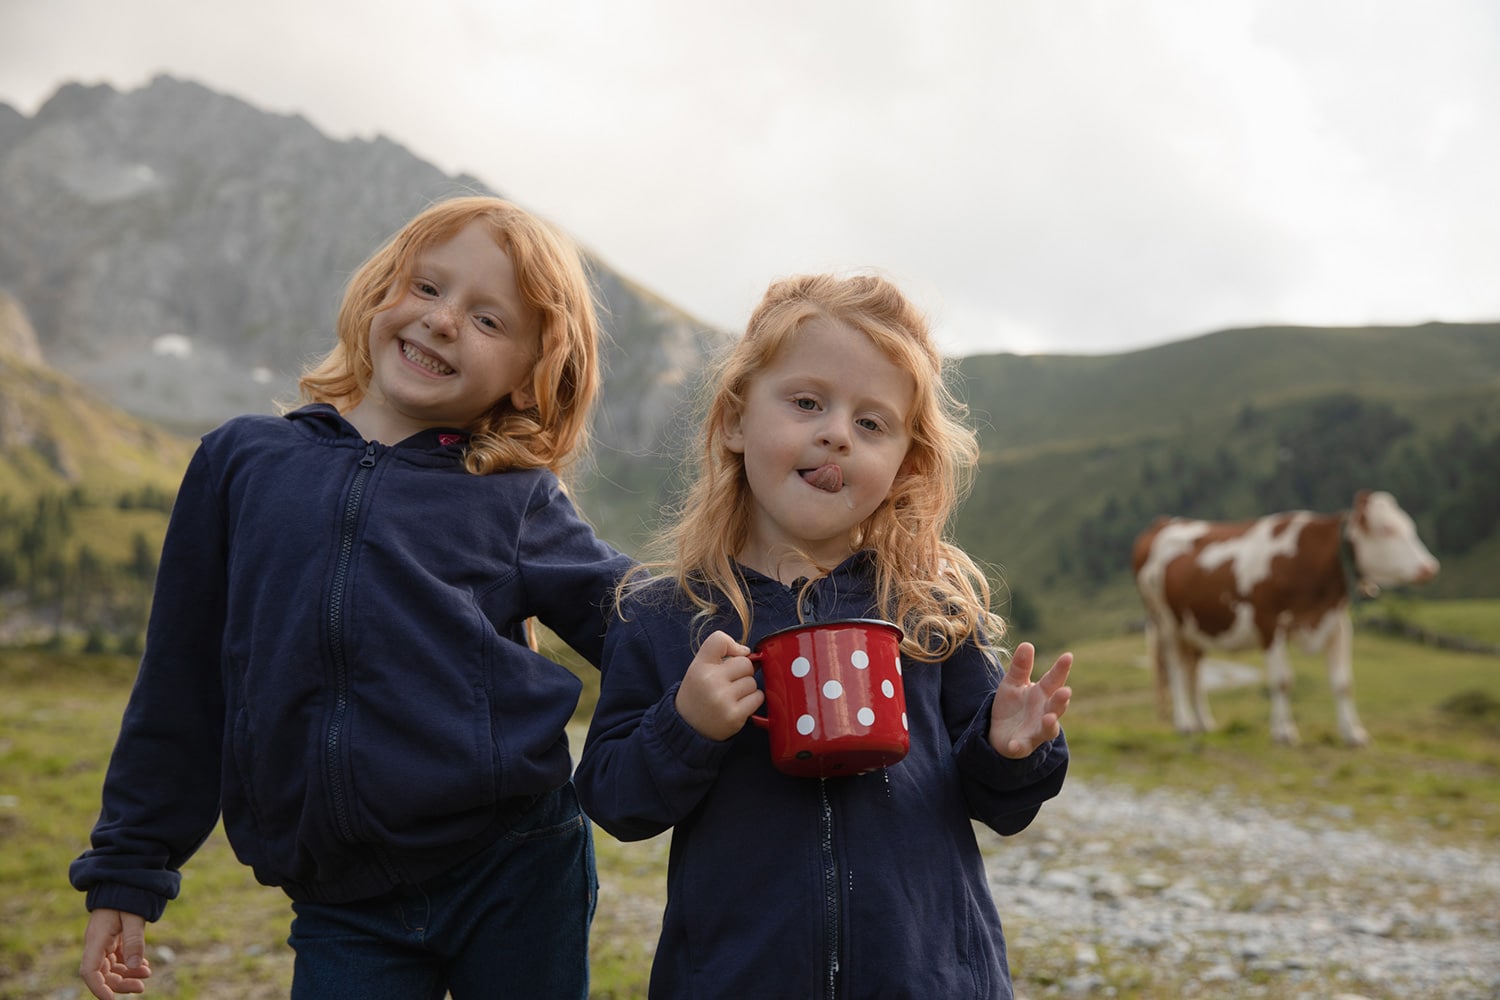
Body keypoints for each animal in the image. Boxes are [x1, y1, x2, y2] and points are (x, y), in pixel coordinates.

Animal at [1128, 488, 1434, 746]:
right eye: (1387, 529)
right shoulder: (1268, 623)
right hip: (1166, 622)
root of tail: (1163, 523)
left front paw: (1353, 733)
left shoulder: (1337, 624)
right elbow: (1282, 680)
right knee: (1176, 670)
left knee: (1194, 671)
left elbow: (1343, 682)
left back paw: (1205, 722)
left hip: (1195, 626)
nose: (1430, 567)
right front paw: (1284, 732)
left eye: (1410, 526)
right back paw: (1185, 723)